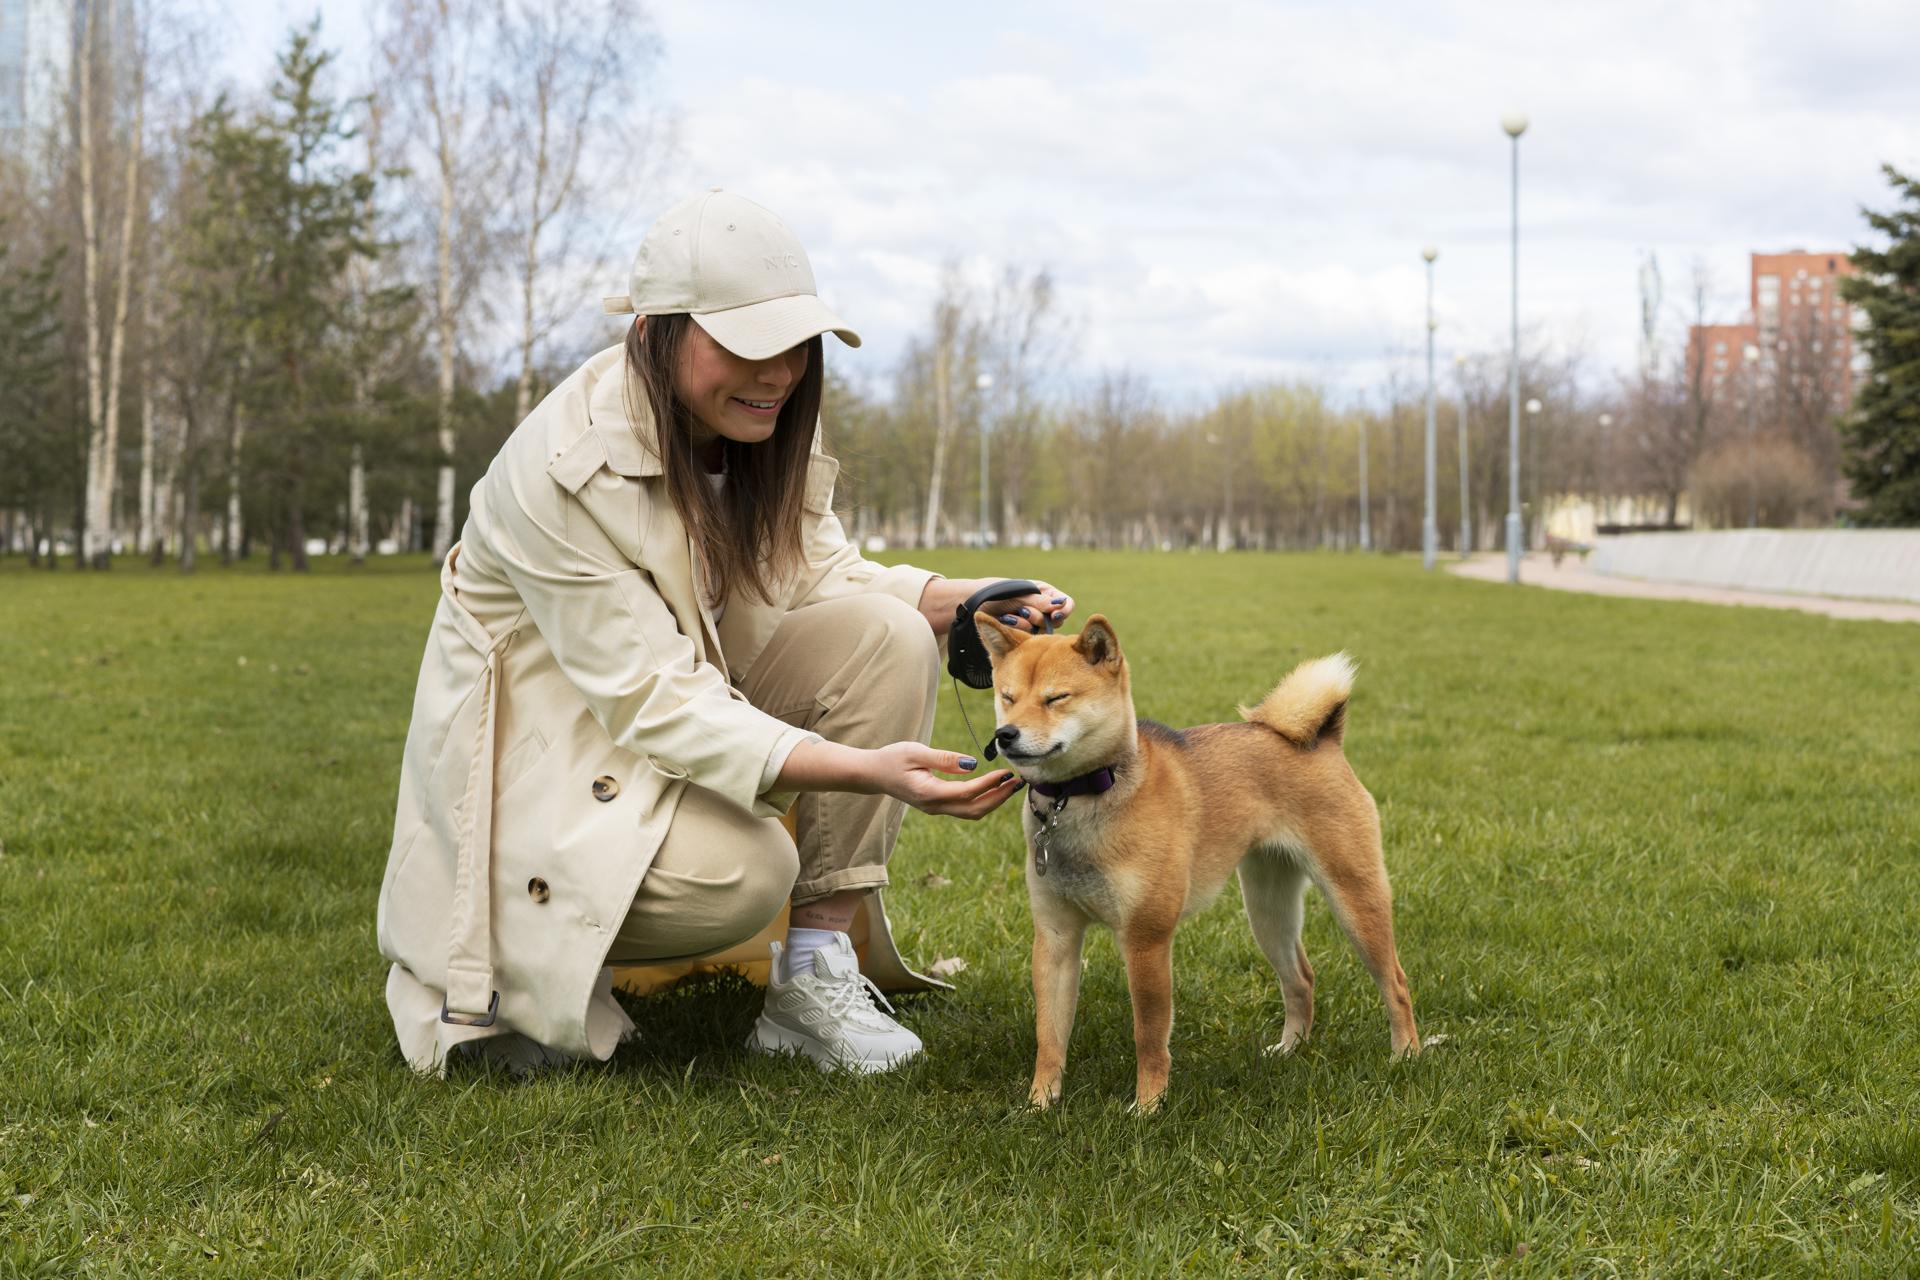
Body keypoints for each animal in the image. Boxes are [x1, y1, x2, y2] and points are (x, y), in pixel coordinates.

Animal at [983, 614, 1420, 1113]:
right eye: (1007, 697)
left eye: (1056, 698)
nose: (1005, 735)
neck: (1079, 800)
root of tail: (1322, 739)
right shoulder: (1055, 937)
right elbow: (1050, 1035)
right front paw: (1039, 1103)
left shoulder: (1146, 940)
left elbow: (1149, 1035)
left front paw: (1148, 1107)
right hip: (1268, 911)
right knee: (1301, 979)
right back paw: (1289, 1049)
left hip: (1354, 898)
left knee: (1395, 982)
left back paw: (1405, 1055)